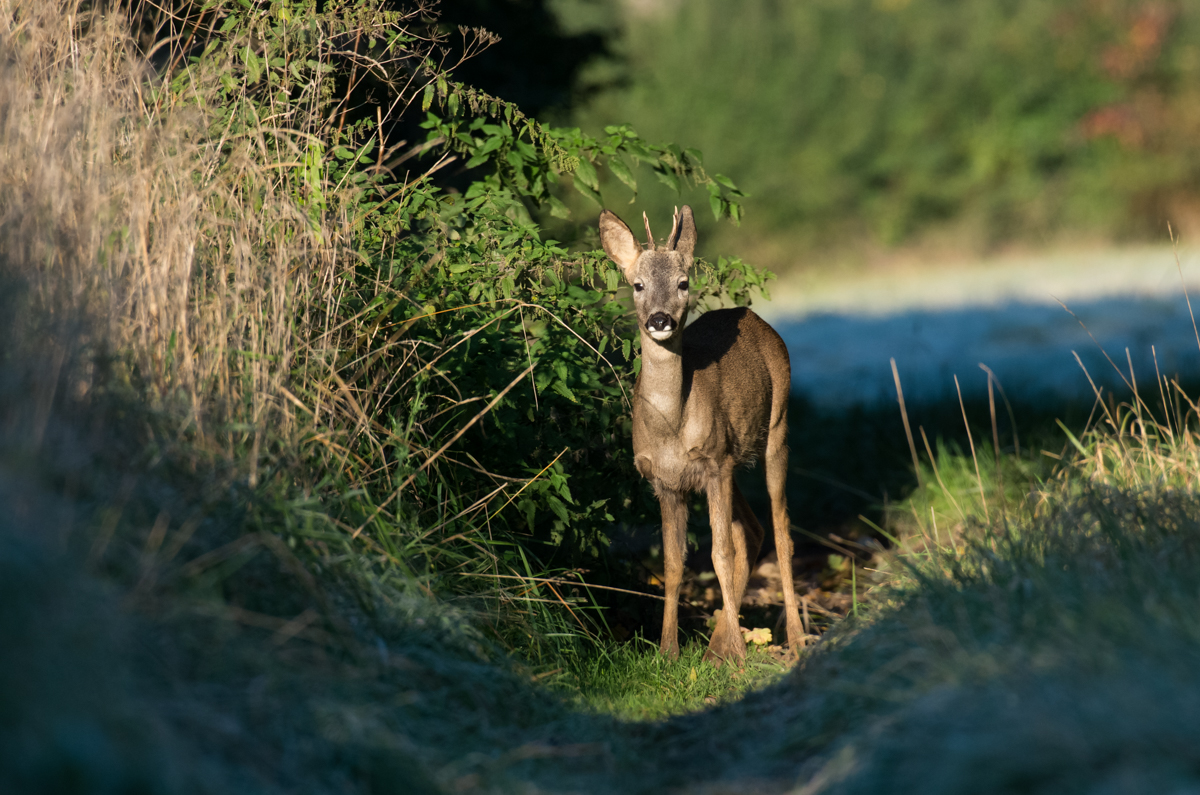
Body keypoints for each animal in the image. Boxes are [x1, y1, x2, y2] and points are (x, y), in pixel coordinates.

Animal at [595, 205, 801, 667]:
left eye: (683, 282)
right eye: (637, 284)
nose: (660, 320)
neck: (671, 428)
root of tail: (755, 318)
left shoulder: (713, 465)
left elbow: (720, 555)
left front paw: (740, 656)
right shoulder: (667, 482)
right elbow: (673, 564)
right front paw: (667, 651)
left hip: (776, 429)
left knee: (781, 530)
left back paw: (795, 638)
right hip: (732, 456)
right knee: (753, 529)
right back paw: (714, 648)